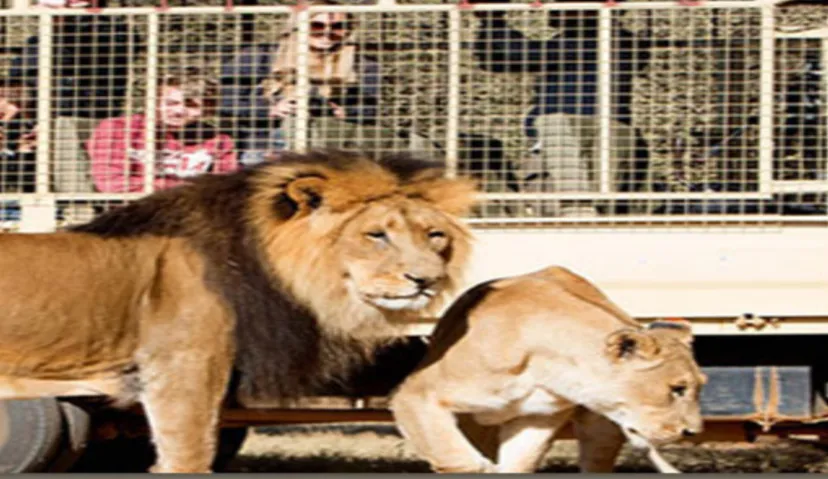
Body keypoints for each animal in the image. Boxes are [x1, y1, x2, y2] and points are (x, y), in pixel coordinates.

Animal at [390, 265, 707, 474]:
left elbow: (519, 463)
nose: (692, 431)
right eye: (677, 389)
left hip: (601, 428)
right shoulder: (417, 395)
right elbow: (457, 457)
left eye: (699, 386)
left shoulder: (538, 417)